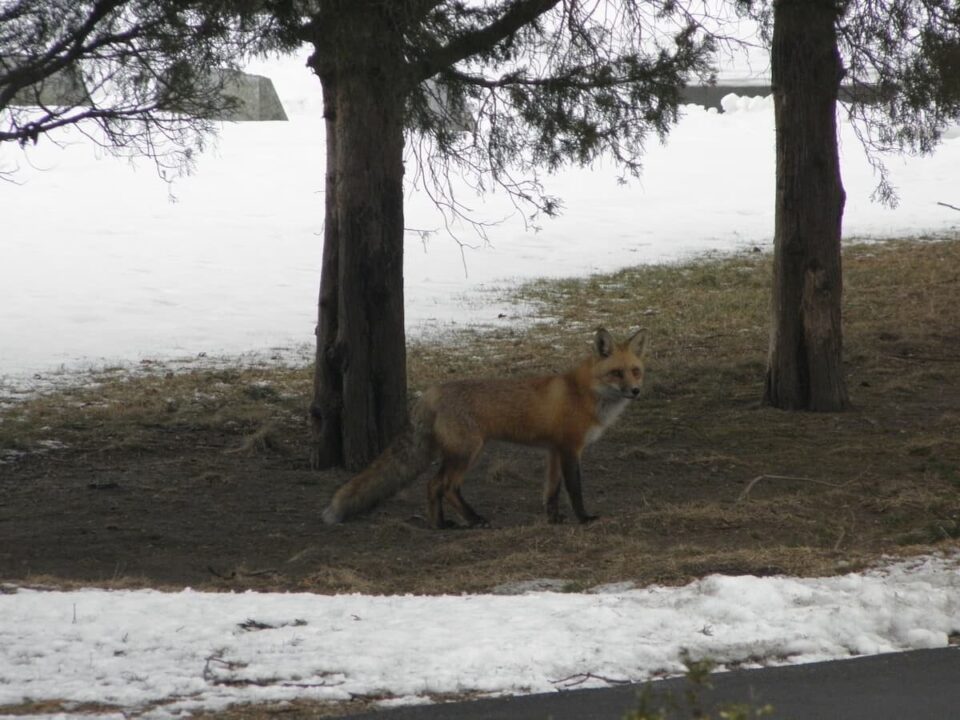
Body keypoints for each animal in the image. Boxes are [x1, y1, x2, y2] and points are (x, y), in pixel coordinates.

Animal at [321, 327, 647, 529]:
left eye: (635, 371)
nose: (635, 391)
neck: (583, 394)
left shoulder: (554, 451)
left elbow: (551, 491)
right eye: (616, 373)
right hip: (468, 452)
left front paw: (553, 519)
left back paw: (440, 525)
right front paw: (584, 518)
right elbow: (575, 489)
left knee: (434, 486)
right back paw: (473, 520)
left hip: (461, 453)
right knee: (444, 486)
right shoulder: (570, 449)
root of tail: (431, 392)